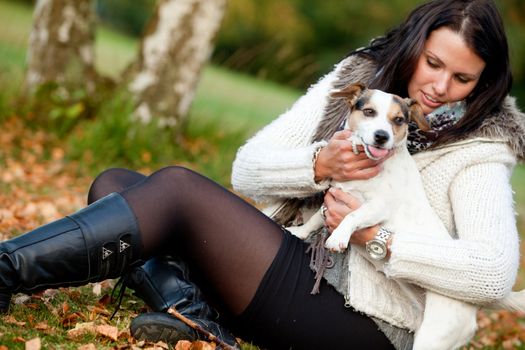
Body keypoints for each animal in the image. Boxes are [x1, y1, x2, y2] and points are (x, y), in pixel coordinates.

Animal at [286, 84, 524, 350]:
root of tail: (474, 306)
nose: (382, 136)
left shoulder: (378, 207)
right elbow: (317, 217)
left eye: (398, 120)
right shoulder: (337, 193)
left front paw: (338, 237)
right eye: (369, 112)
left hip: (434, 336)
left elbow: (353, 216)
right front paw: (300, 231)